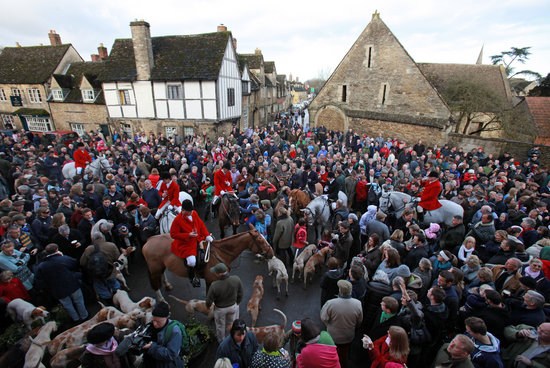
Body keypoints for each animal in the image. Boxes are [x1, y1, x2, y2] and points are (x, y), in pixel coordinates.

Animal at [143, 226, 274, 300]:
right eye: (260, 240)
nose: (271, 252)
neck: (220, 252)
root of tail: (150, 240)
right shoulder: (210, 280)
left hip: (160, 266)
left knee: (162, 274)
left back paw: (167, 284)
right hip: (154, 268)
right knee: (155, 285)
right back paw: (162, 301)